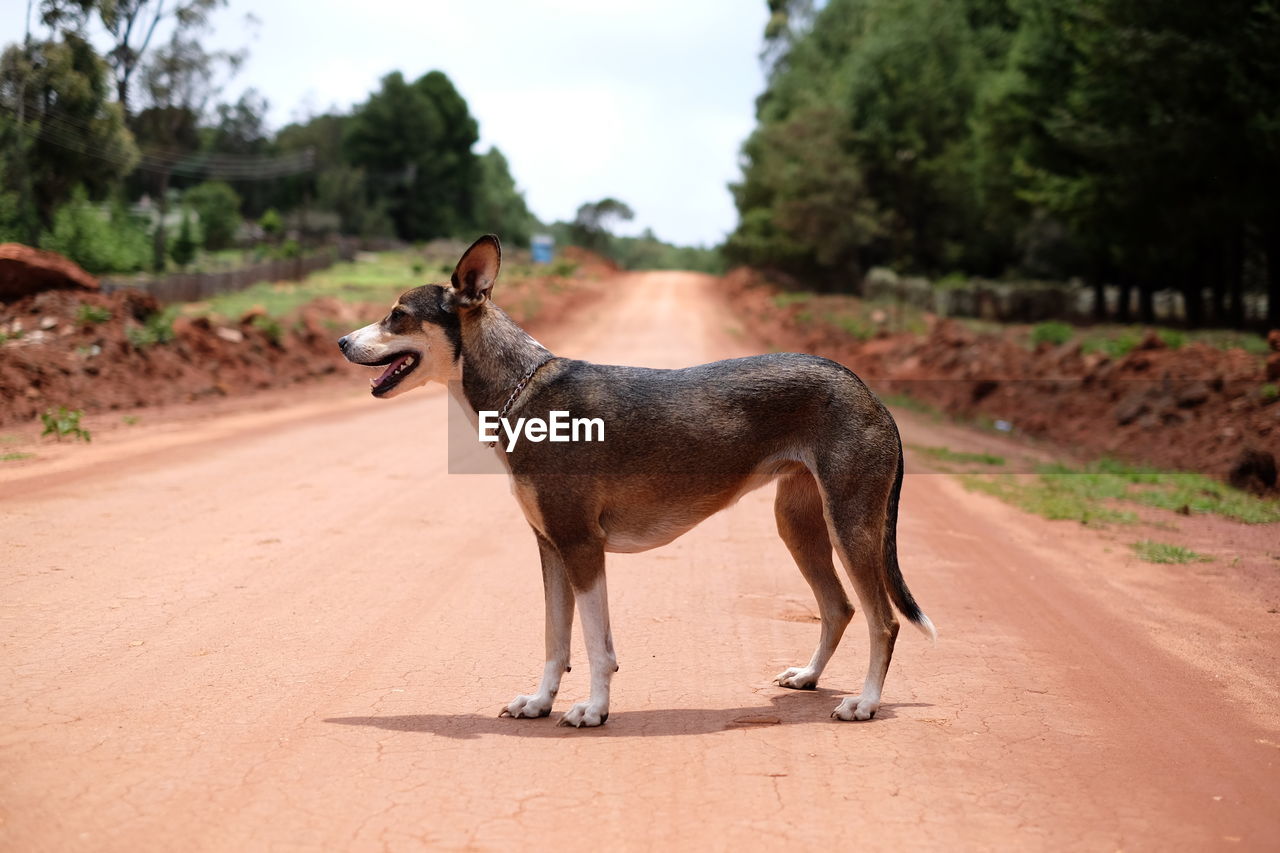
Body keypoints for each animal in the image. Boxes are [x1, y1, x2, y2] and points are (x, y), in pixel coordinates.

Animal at [337, 236, 942, 722]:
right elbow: (556, 640)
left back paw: (864, 703)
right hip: (798, 524)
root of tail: (869, 392)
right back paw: (809, 677)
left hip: (851, 524)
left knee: (883, 621)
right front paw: (539, 702)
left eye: (397, 315)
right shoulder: (551, 546)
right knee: (839, 608)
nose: (341, 342)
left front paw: (593, 710)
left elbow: (595, 644)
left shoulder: (582, 546)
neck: (521, 392)